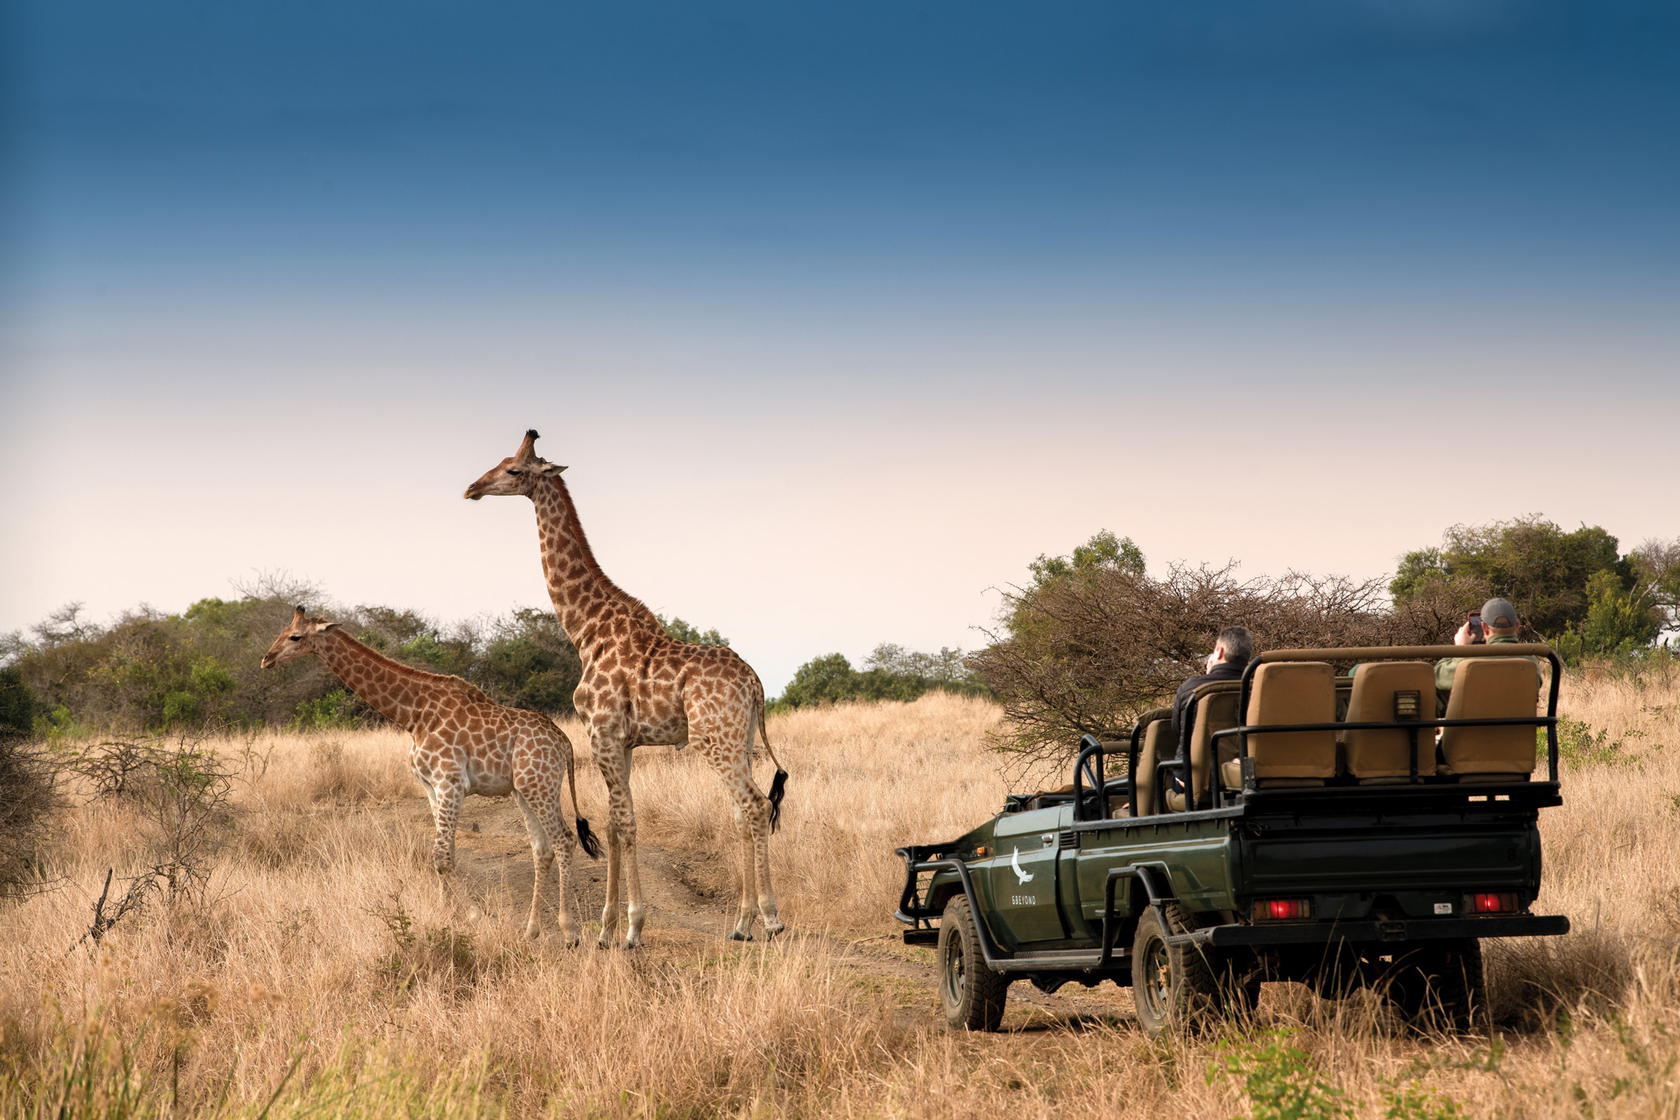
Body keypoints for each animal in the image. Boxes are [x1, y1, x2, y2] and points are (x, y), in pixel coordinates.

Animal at [259, 607, 601, 943]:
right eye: (281, 631)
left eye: (295, 636)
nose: (267, 658)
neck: (414, 715)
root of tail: (564, 743)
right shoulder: (430, 786)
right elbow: (443, 853)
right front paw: (447, 914)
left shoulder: (450, 782)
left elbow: (442, 856)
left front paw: (472, 915)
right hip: (523, 789)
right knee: (542, 849)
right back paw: (531, 930)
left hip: (540, 783)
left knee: (564, 839)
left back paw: (570, 930)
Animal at [464, 430, 788, 948]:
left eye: (513, 470)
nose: (472, 488)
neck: (585, 629)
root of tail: (756, 684)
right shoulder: (623, 741)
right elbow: (615, 824)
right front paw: (606, 928)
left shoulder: (602, 734)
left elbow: (625, 821)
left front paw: (632, 928)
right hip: (738, 740)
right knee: (743, 813)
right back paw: (740, 924)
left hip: (714, 740)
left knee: (755, 807)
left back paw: (771, 918)